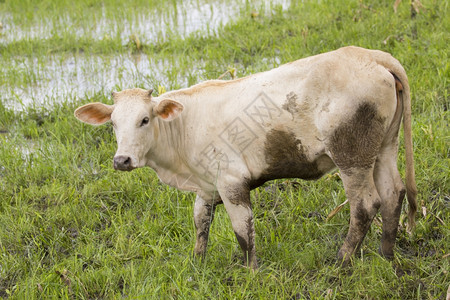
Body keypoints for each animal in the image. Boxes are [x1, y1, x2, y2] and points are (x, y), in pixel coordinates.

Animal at [74, 46, 418, 268]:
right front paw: (197, 263)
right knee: (393, 193)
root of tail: (372, 55)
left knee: (365, 205)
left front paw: (250, 269)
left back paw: (343, 260)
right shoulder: (206, 184)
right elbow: (200, 221)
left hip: (351, 156)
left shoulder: (231, 181)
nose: (122, 160)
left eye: (145, 120)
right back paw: (386, 254)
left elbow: (243, 228)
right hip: (383, 147)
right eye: (113, 123)